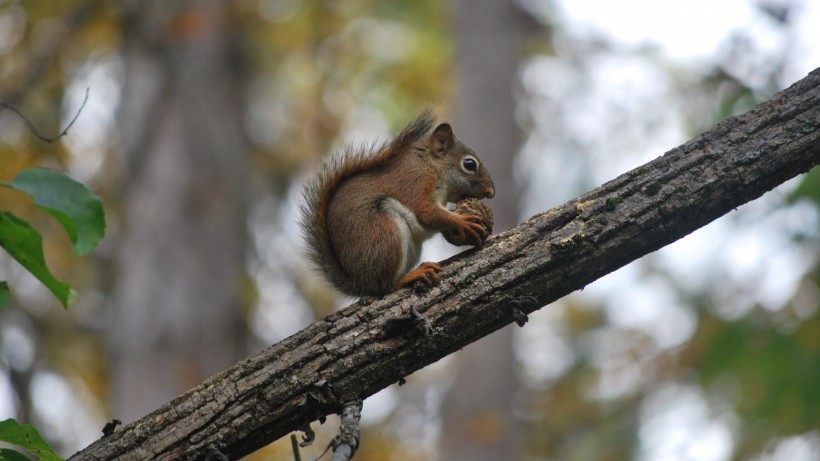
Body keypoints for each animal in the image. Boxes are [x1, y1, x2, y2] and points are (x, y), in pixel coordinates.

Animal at [300, 112, 494, 298]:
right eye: (469, 164)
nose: (491, 192)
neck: (431, 164)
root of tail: (361, 283)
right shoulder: (417, 182)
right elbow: (426, 212)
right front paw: (463, 222)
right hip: (385, 231)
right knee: (385, 286)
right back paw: (412, 276)